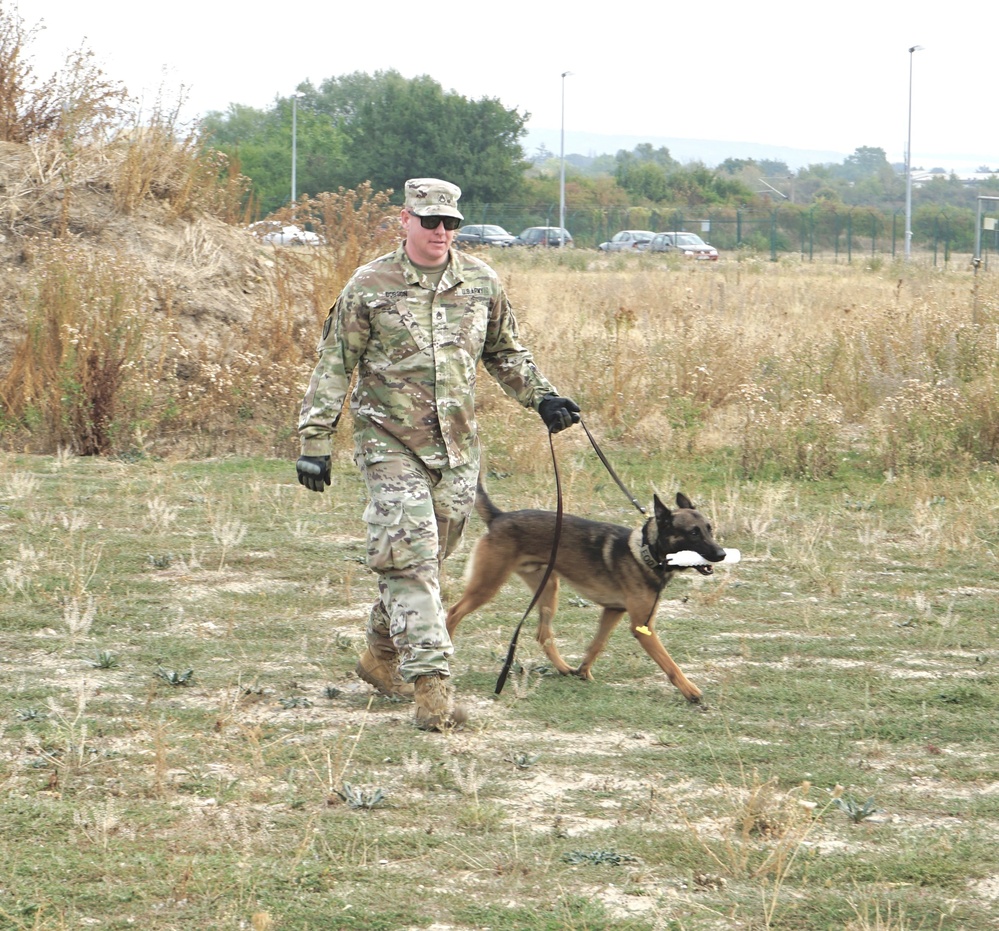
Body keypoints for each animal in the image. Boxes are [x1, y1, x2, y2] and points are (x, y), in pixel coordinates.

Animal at [448, 484, 728, 704]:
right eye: (693, 532)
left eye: (709, 528)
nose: (722, 554)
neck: (646, 552)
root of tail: (499, 516)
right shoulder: (642, 627)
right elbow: (669, 664)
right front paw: (691, 691)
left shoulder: (613, 610)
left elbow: (597, 644)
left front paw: (583, 672)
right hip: (488, 585)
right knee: (452, 612)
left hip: (549, 588)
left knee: (543, 633)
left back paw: (563, 668)